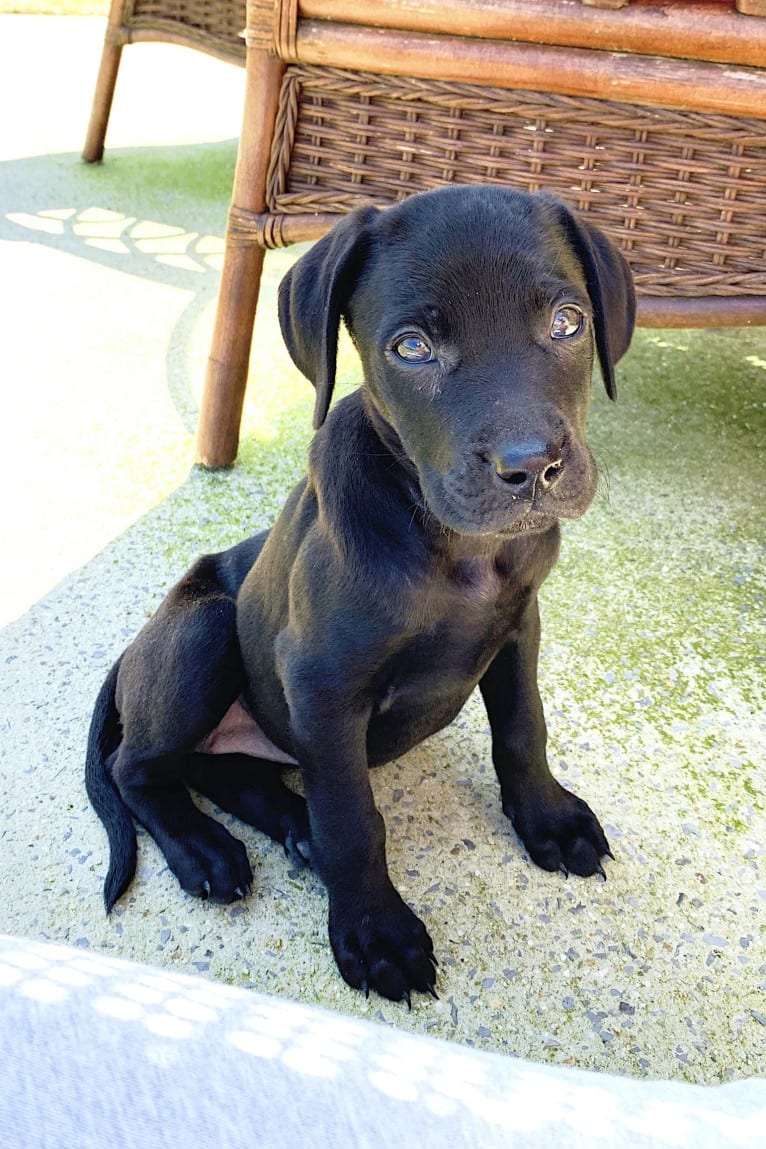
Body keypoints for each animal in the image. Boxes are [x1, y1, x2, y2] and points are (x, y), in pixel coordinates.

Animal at [85, 183, 633, 1001]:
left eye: (568, 321)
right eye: (411, 347)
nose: (532, 466)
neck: (457, 550)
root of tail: (132, 651)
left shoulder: (519, 625)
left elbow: (522, 728)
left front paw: (548, 819)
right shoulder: (322, 681)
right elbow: (351, 815)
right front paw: (375, 930)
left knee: (218, 767)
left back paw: (289, 828)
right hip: (204, 633)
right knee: (138, 768)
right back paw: (205, 849)